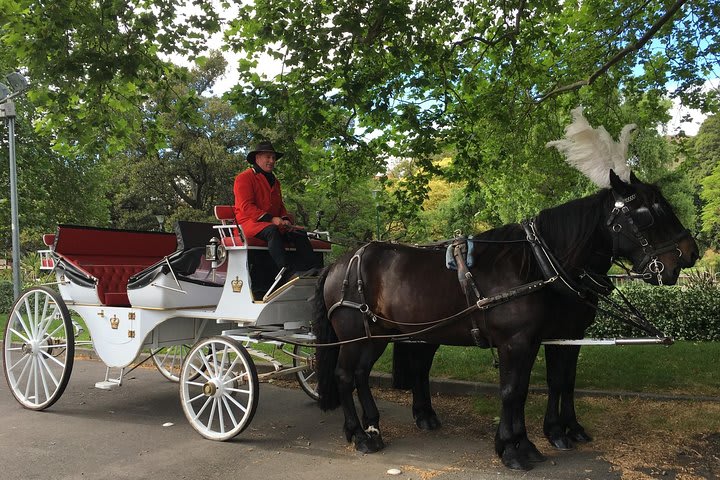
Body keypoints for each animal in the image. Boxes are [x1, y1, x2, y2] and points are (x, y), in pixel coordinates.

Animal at [312, 169, 699, 470]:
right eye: (649, 213)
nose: (690, 255)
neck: (539, 264)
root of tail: (339, 263)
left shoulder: (554, 338)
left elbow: (555, 383)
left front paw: (547, 435)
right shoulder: (517, 342)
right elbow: (515, 391)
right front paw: (513, 448)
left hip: (379, 335)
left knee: (365, 374)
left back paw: (375, 426)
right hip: (356, 335)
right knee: (345, 375)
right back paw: (359, 434)